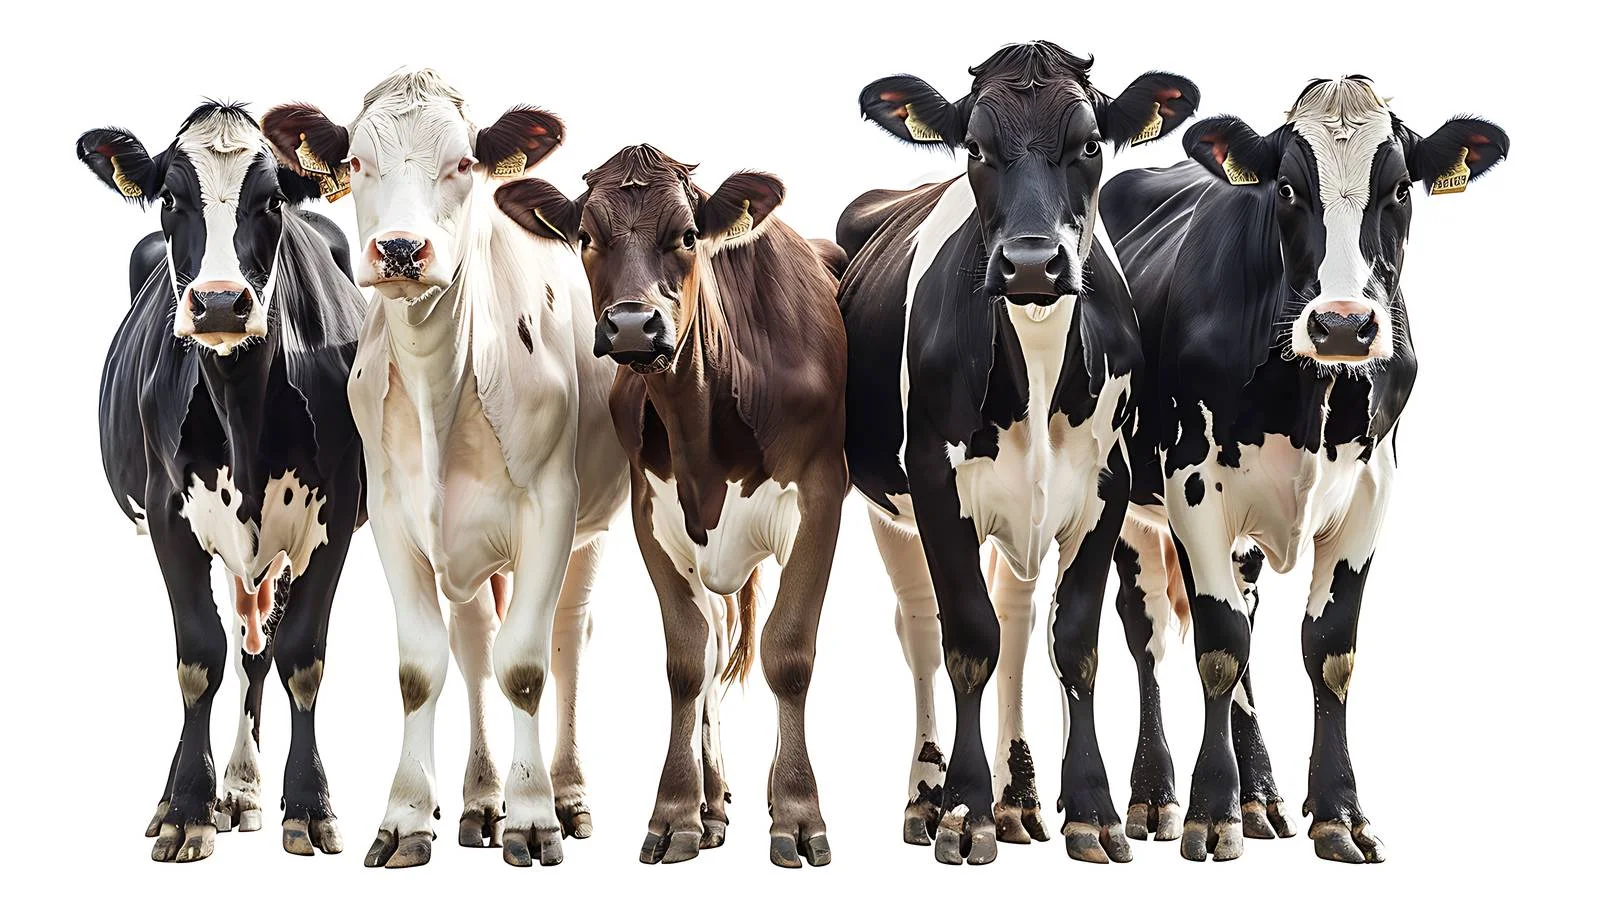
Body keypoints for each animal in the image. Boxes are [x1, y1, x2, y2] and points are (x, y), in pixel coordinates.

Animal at [76, 102, 366, 863]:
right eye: (171, 198)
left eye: (271, 201)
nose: (218, 304)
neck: (240, 402)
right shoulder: (167, 515)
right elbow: (197, 657)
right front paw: (186, 810)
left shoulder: (333, 516)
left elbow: (299, 656)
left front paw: (309, 805)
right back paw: (190, 794)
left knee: (256, 654)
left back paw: (242, 788)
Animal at [262, 70, 629, 869]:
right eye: (358, 161)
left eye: (463, 163)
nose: (401, 248)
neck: (443, 382)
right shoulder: (393, 519)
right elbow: (423, 667)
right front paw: (407, 815)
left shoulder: (551, 510)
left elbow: (525, 665)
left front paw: (534, 815)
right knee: (473, 641)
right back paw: (479, 799)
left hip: (589, 528)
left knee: (567, 637)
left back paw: (567, 793)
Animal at [496, 144, 849, 868]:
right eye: (586, 236)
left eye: (687, 235)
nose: (633, 324)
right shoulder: (652, 516)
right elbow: (689, 660)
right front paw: (678, 810)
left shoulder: (821, 498)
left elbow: (789, 652)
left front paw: (798, 811)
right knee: (714, 648)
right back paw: (715, 803)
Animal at [835, 41, 1198, 865]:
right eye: (975, 148)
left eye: (1090, 143)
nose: (1033, 263)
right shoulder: (935, 486)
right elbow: (970, 638)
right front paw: (965, 811)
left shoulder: (1106, 489)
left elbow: (1073, 641)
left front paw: (1091, 809)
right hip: (887, 508)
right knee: (923, 630)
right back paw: (928, 797)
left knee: (1019, 618)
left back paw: (1020, 801)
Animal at [1099, 76, 1508, 863]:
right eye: (1286, 187)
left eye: (1399, 189)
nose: (1344, 323)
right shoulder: (1191, 490)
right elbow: (1218, 645)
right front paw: (1210, 811)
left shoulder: (1371, 493)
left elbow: (1328, 651)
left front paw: (1339, 812)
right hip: (1132, 506)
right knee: (1151, 637)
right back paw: (1156, 795)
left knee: (1249, 615)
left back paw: (1261, 795)